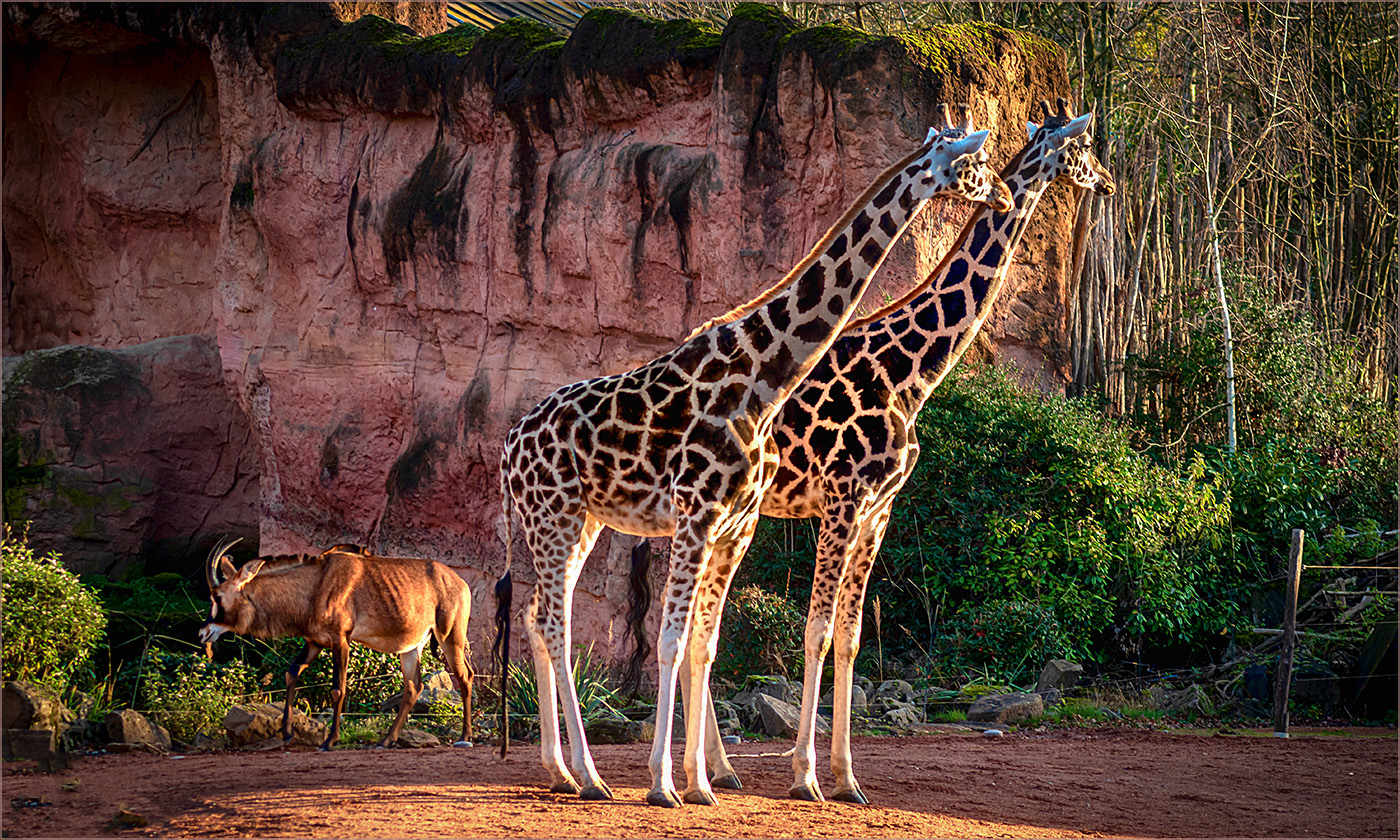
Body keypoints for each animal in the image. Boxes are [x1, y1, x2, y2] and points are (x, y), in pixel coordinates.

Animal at [198, 540, 476, 750]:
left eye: (218, 596)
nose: (203, 633)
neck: (314, 584)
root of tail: (460, 582)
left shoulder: (340, 640)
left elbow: (337, 689)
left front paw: (329, 740)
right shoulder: (314, 641)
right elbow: (291, 673)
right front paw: (287, 733)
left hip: (450, 636)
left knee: (465, 677)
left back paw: (464, 737)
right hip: (411, 648)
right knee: (413, 686)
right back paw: (386, 740)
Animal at [498, 106, 1013, 806]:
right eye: (975, 164)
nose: (1006, 193)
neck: (763, 376)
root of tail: (506, 447)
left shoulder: (734, 523)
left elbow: (705, 644)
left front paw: (700, 783)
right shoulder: (701, 514)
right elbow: (673, 641)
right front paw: (668, 784)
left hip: (580, 521)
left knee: (540, 617)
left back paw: (563, 771)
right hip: (551, 516)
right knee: (555, 623)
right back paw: (590, 776)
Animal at [641, 95, 1114, 806]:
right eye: (1083, 150)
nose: (1108, 182)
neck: (912, 373)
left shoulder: (880, 507)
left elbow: (852, 636)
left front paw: (847, 777)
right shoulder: (844, 495)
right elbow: (816, 630)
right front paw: (806, 775)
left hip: (730, 516)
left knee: (698, 618)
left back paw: (718, 769)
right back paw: (703, 769)